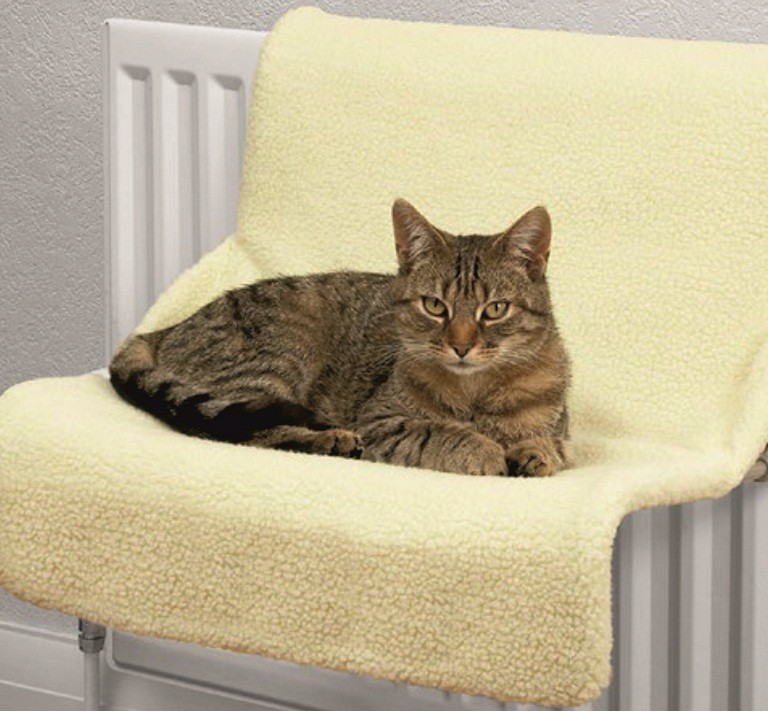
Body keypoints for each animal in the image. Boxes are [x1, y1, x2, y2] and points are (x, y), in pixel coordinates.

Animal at [110, 200, 571, 477]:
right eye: (434, 306)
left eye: (495, 309)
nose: (460, 345)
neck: (476, 394)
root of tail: (166, 329)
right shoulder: (382, 422)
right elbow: (440, 432)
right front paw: (485, 450)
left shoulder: (563, 432)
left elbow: (551, 443)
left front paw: (532, 453)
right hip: (275, 360)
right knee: (248, 431)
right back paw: (332, 440)